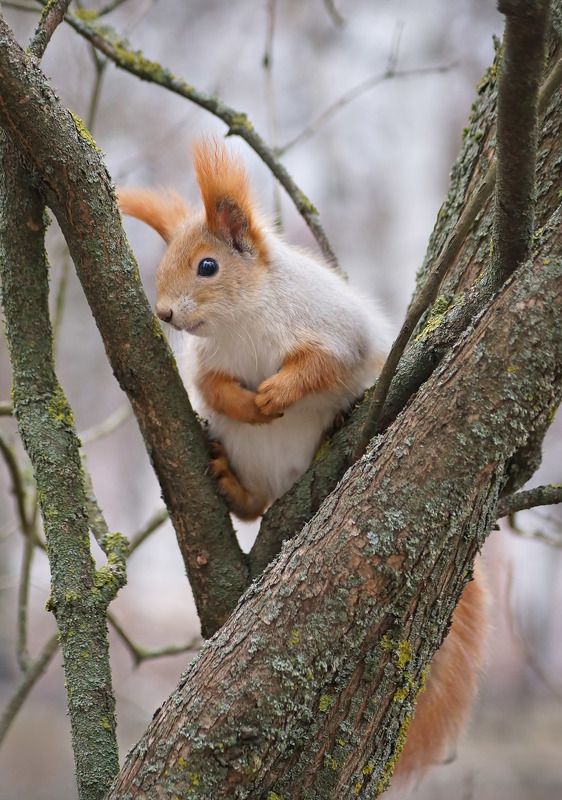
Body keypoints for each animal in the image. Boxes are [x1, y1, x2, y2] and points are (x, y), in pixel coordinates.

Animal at [118, 139, 488, 789]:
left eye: (208, 266)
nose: (164, 314)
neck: (241, 320)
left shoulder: (334, 331)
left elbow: (321, 365)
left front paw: (277, 394)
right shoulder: (210, 363)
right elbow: (215, 390)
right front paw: (248, 402)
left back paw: (329, 435)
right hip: (251, 460)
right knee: (255, 503)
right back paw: (231, 485)